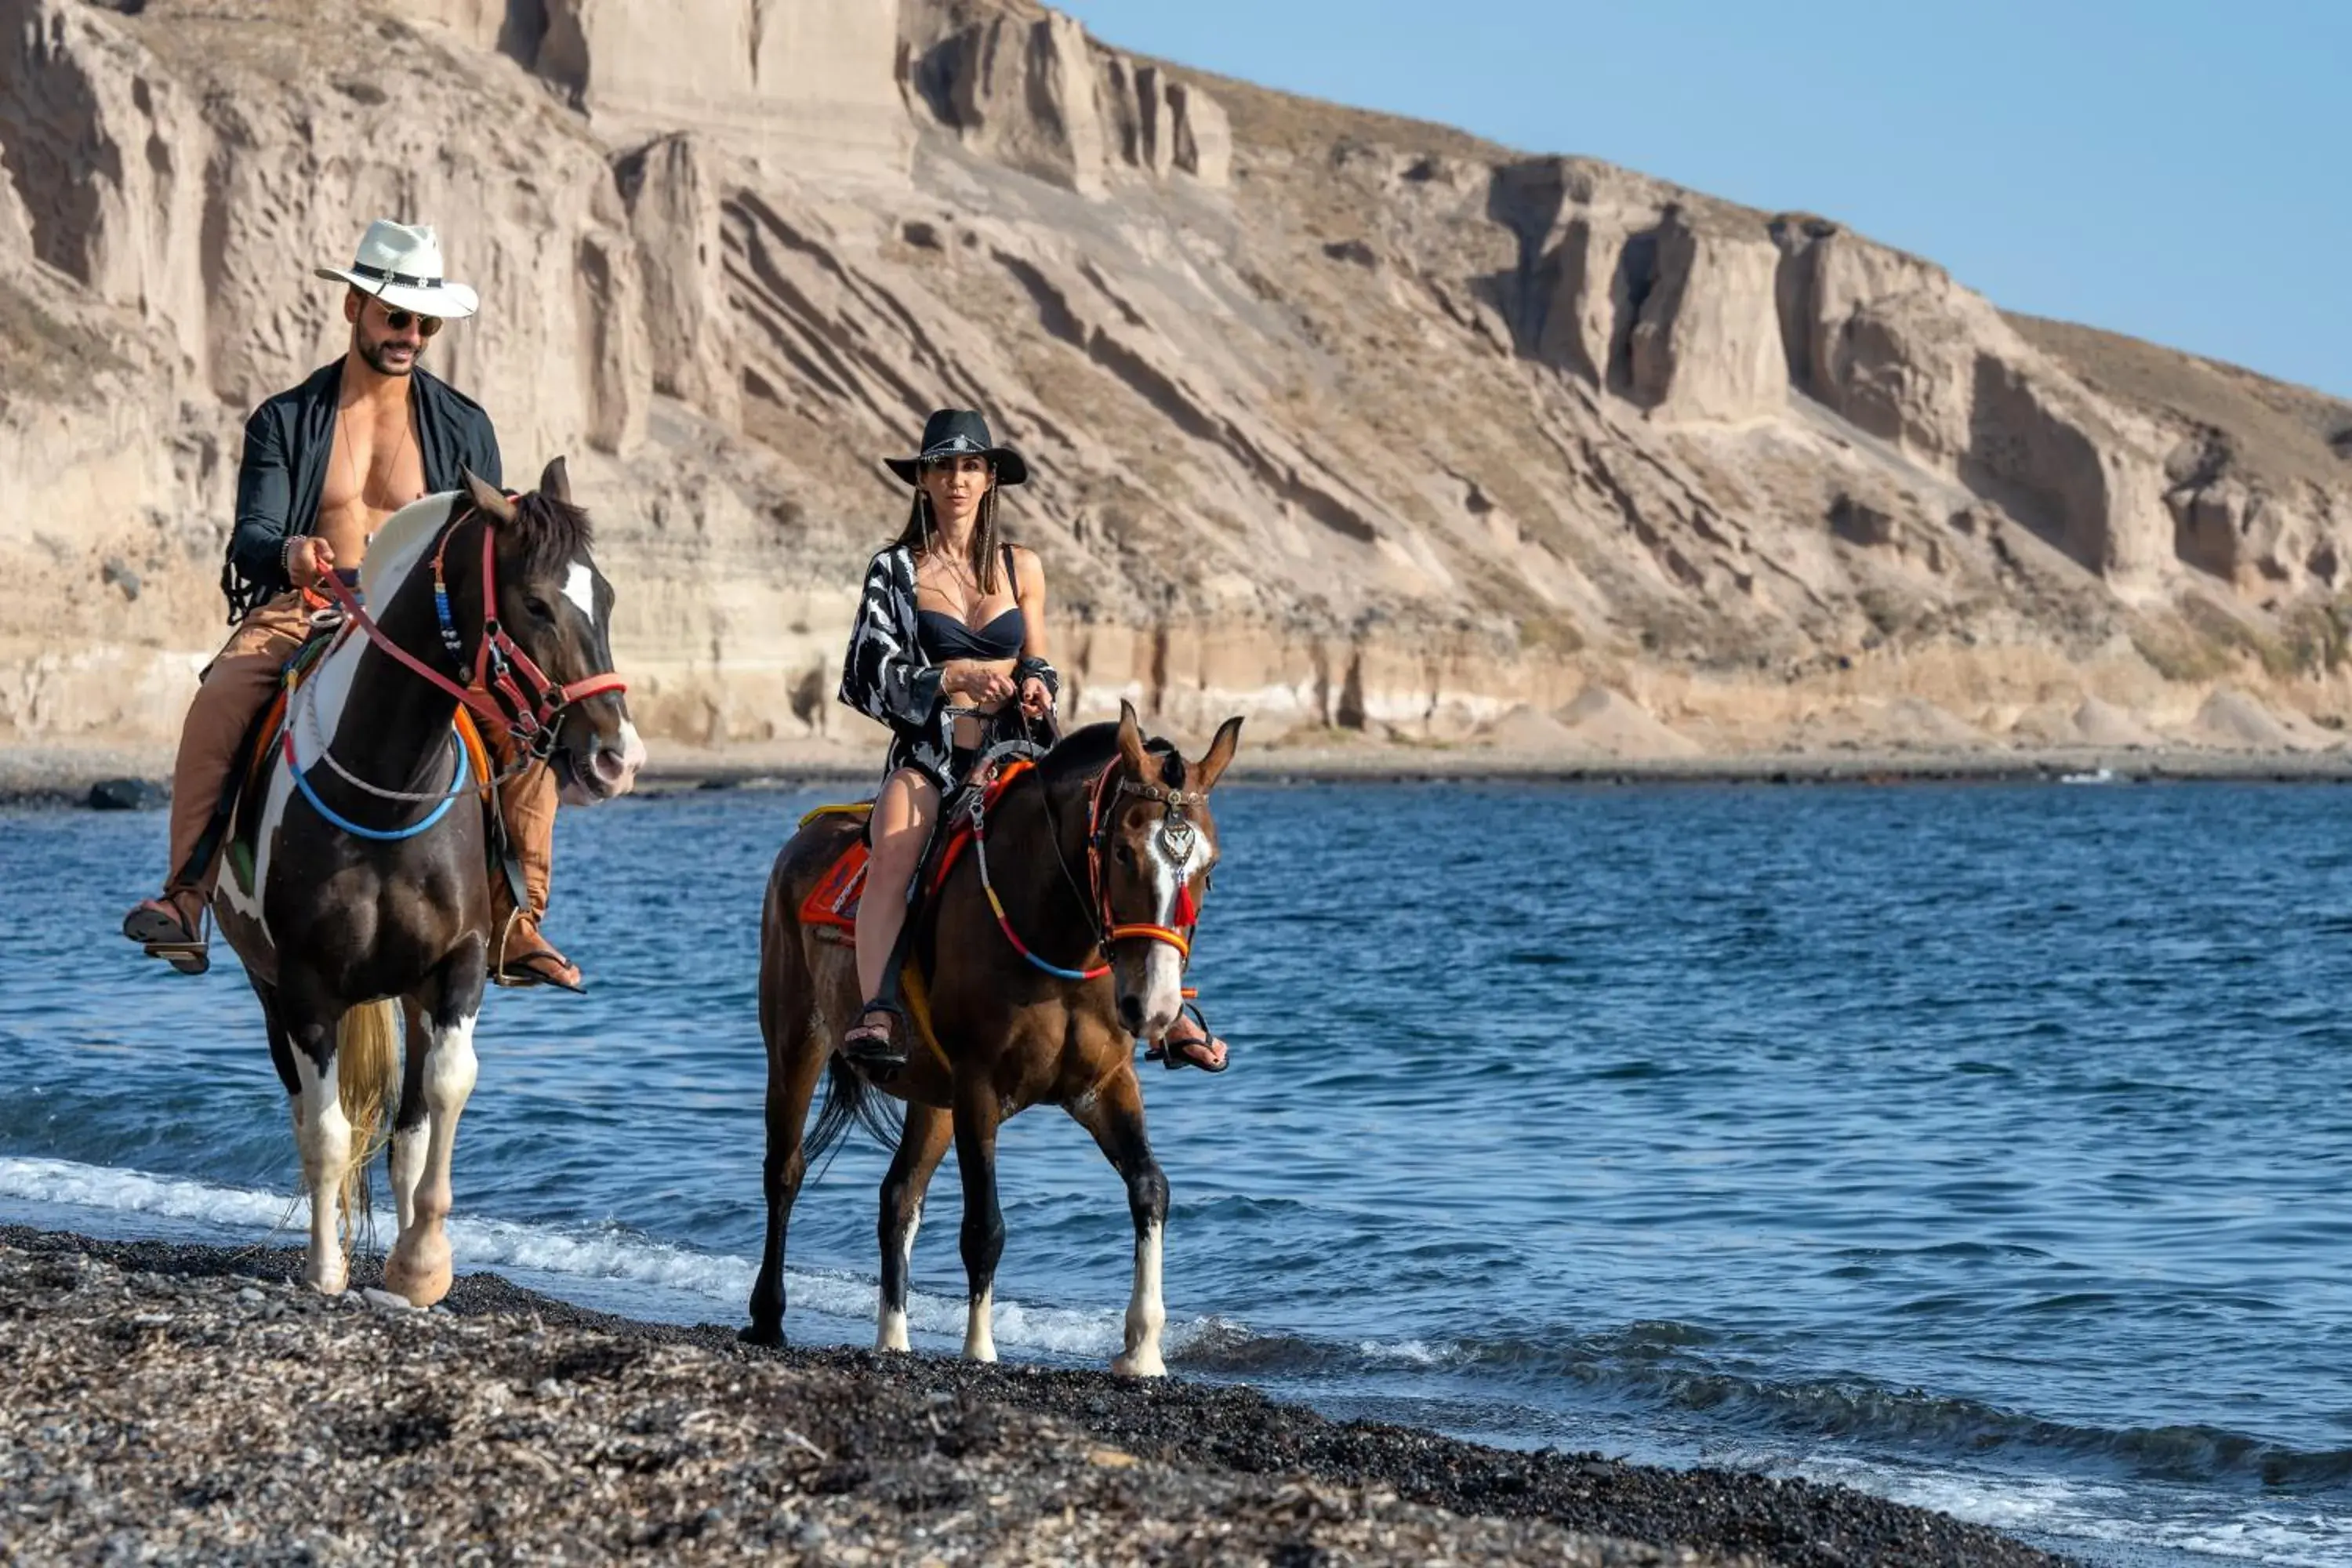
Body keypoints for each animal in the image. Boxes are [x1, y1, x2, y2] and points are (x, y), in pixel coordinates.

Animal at [212, 460, 644, 1307]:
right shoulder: (304, 985)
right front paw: (326, 1269)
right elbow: (326, 1131)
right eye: (535, 602)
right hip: (267, 986)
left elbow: (445, 1090)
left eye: (606, 596)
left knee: (407, 1131)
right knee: (308, 1113)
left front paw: (422, 1261)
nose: (619, 756)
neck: (389, 786)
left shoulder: (459, 963)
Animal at [753, 705, 1242, 1382]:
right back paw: (768, 1317)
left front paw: (1143, 1349)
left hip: (932, 1098)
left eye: (1208, 868)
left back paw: (892, 1339)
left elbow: (1151, 1188)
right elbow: (984, 1225)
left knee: (899, 1197)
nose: (1156, 1008)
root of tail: (802, 841)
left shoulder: (1104, 1084)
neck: (1053, 930)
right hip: (797, 1041)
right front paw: (979, 1349)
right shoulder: (979, 1087)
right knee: (785, 1172)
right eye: (1122, 851)